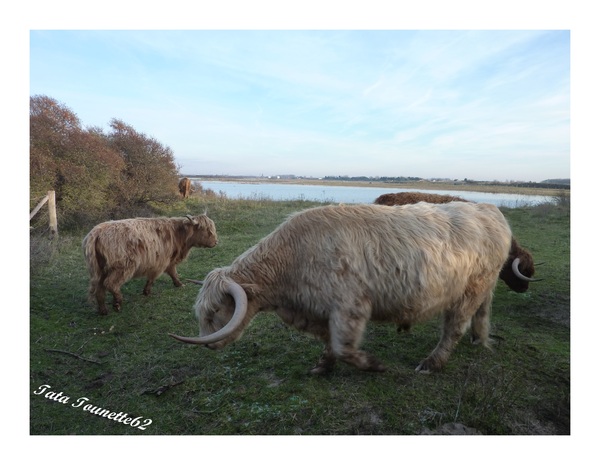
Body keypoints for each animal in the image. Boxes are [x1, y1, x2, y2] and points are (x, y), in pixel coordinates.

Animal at [83, 214, 217, 316]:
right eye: (207, 230)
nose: (216, 242)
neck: (178, 234)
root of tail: (96, 231)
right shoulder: (161, 262)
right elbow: (154, 277)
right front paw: (147, 291)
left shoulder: (169, 260)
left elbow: (173, 273)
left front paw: (179, 284)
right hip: (122, 267)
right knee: (110, 284)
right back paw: (118, 303)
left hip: (100, 270)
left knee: (99, 289)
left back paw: (103, 310)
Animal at [171, 203, 512, 374]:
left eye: (215, 311)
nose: (208, 344)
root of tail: (490, 210)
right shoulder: (320, 311)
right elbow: (329, 343)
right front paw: (322, 366)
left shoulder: (350, 306)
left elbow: (344, 346)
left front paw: (373, 365)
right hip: (483, 287)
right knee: (481, 314)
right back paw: (477, 339)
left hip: (470, 289)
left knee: (454, 326)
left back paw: (432, 362)